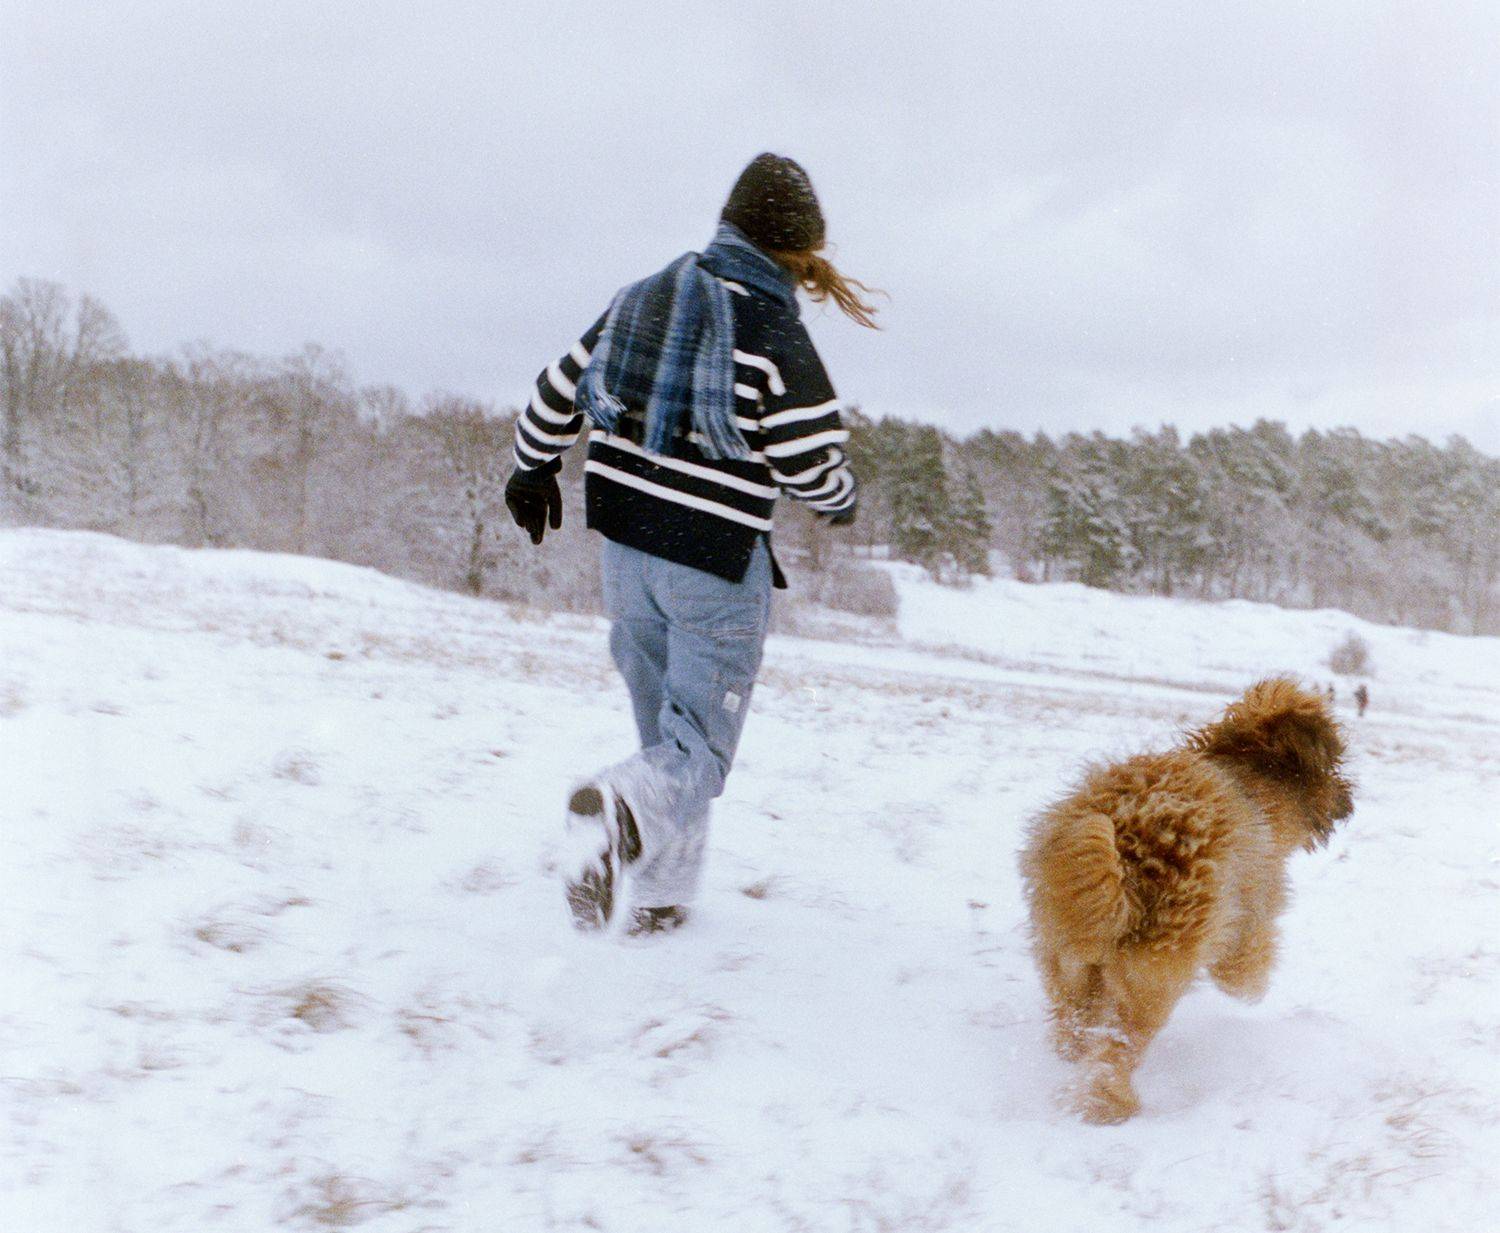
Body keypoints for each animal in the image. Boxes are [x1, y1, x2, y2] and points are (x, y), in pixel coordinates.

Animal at [1026, 681, 1356, 1122]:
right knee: (1117, 1049)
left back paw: (1073, 1059)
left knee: (1074, 1025)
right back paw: (1112, 1104)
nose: (1348, 800)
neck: (1253, 785)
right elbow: (1245, 968)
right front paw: (1253, 988)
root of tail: (1129, 850)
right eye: (1335, 768)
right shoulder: (1252, 912)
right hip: (1153, 979)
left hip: (1066, 958)